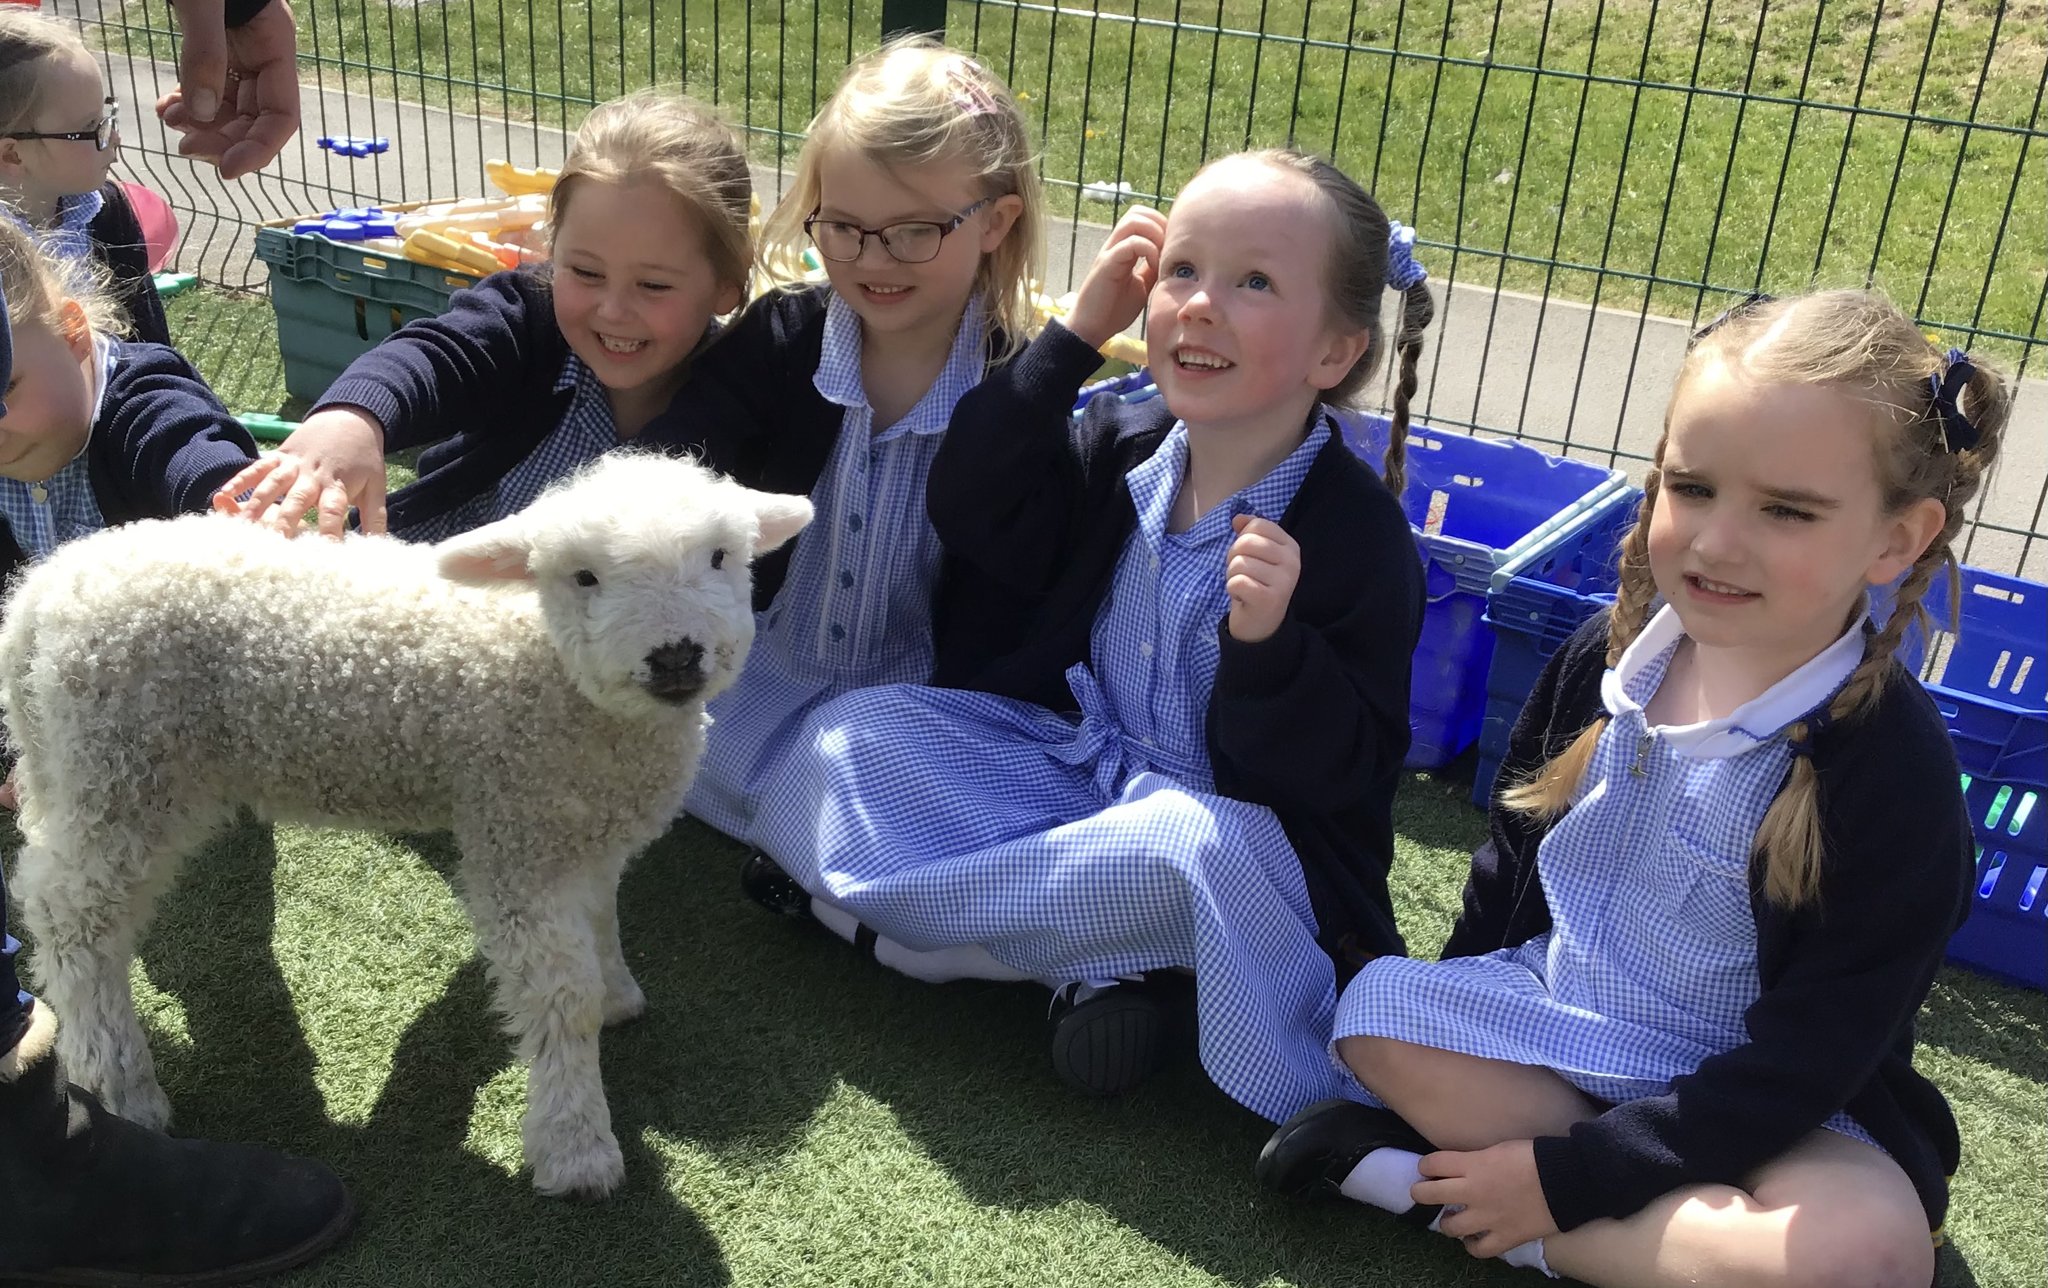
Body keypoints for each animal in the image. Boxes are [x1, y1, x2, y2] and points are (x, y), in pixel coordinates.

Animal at [0, 452, 815, 1195]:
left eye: (721, 557)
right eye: (583, 577)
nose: (676, 655)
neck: (548, 663)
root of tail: (45, 587)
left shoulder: (581, 827)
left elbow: (602, 921)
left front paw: (618, 993)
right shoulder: (516, 834)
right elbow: (561, 998)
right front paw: (576, 1146)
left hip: (79, 767)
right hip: (124, 766)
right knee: (73, 918)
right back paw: (119, 1083)